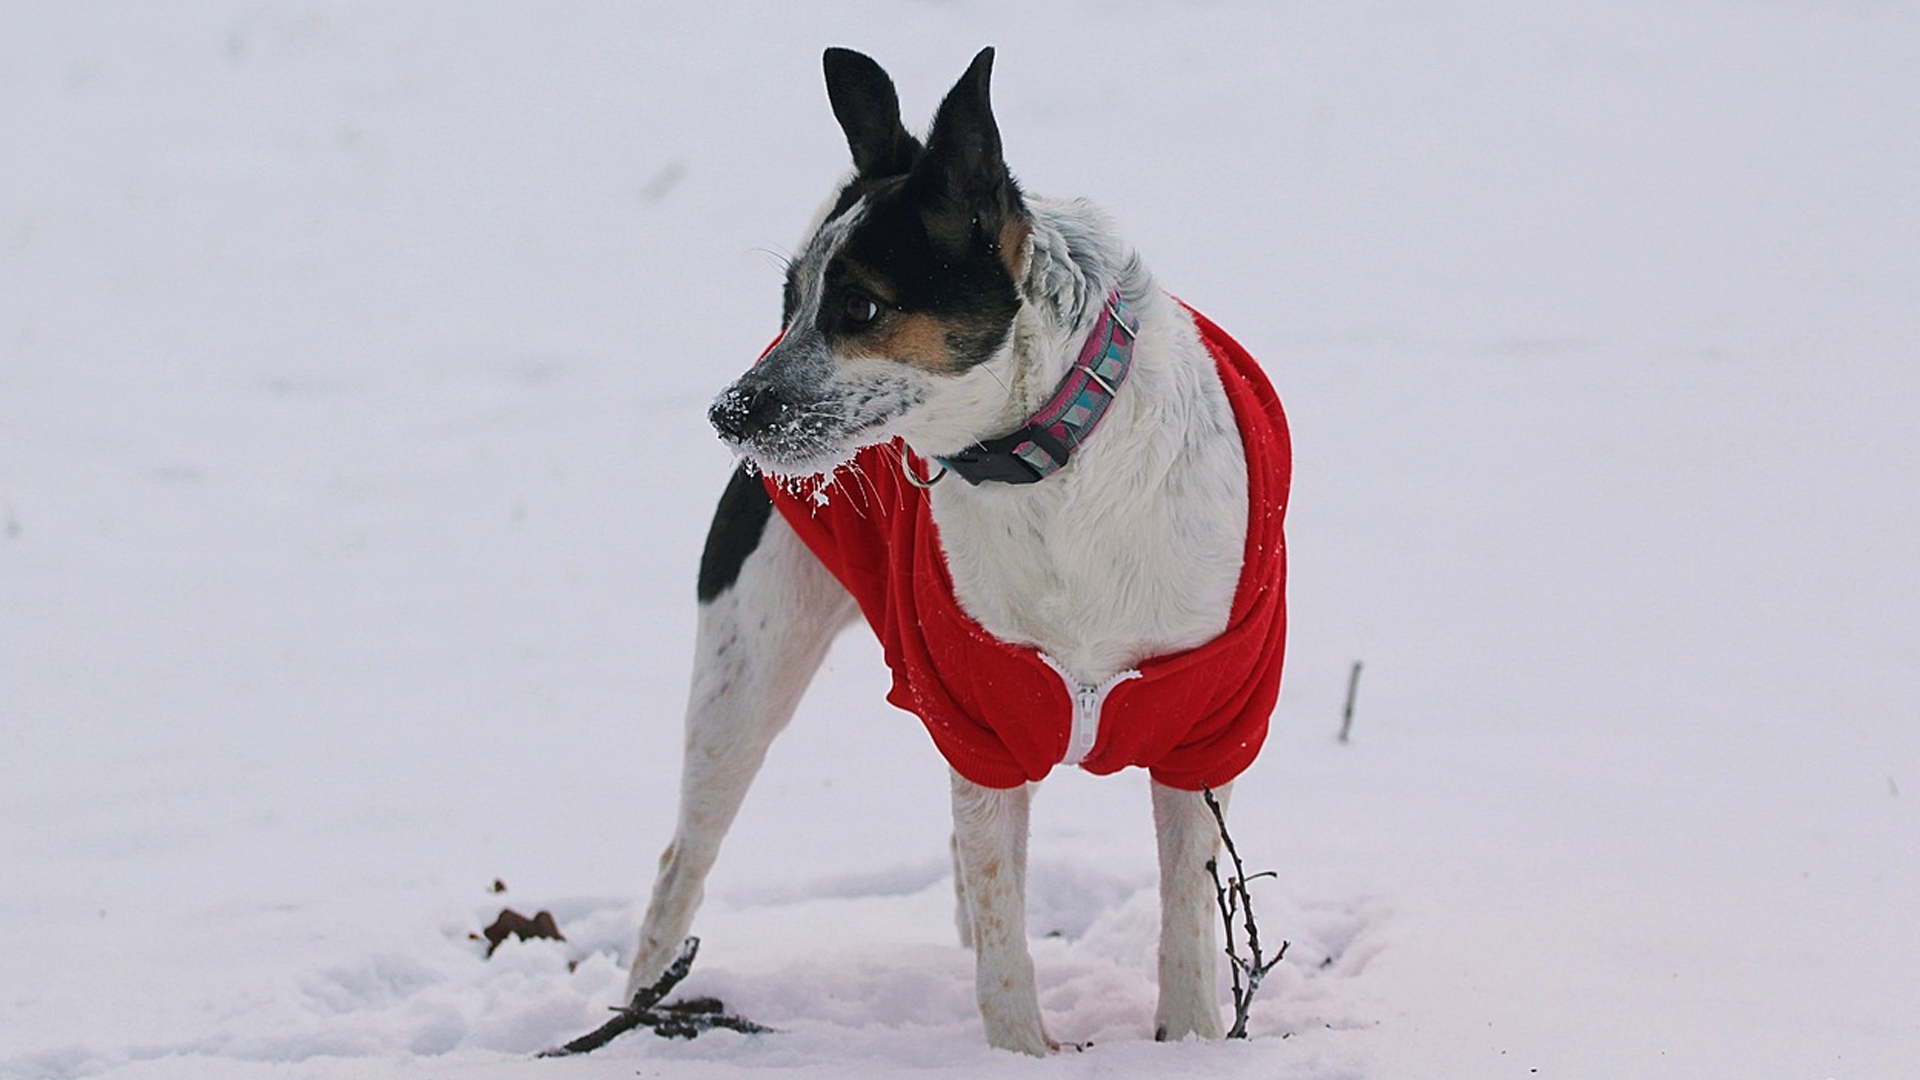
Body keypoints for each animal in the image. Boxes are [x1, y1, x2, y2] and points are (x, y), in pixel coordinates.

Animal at [622, 46, 1297, 1045]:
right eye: (789, 302)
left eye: (860, 305)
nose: (728, 412)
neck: (1053, 472)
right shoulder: (984, 717)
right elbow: (999, 915)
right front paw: (1021, 1050)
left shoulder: (1205, 723)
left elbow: (1185, 915)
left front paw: (1192, 1044)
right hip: (745, 679)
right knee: (680, 864)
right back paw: (633, 1012)